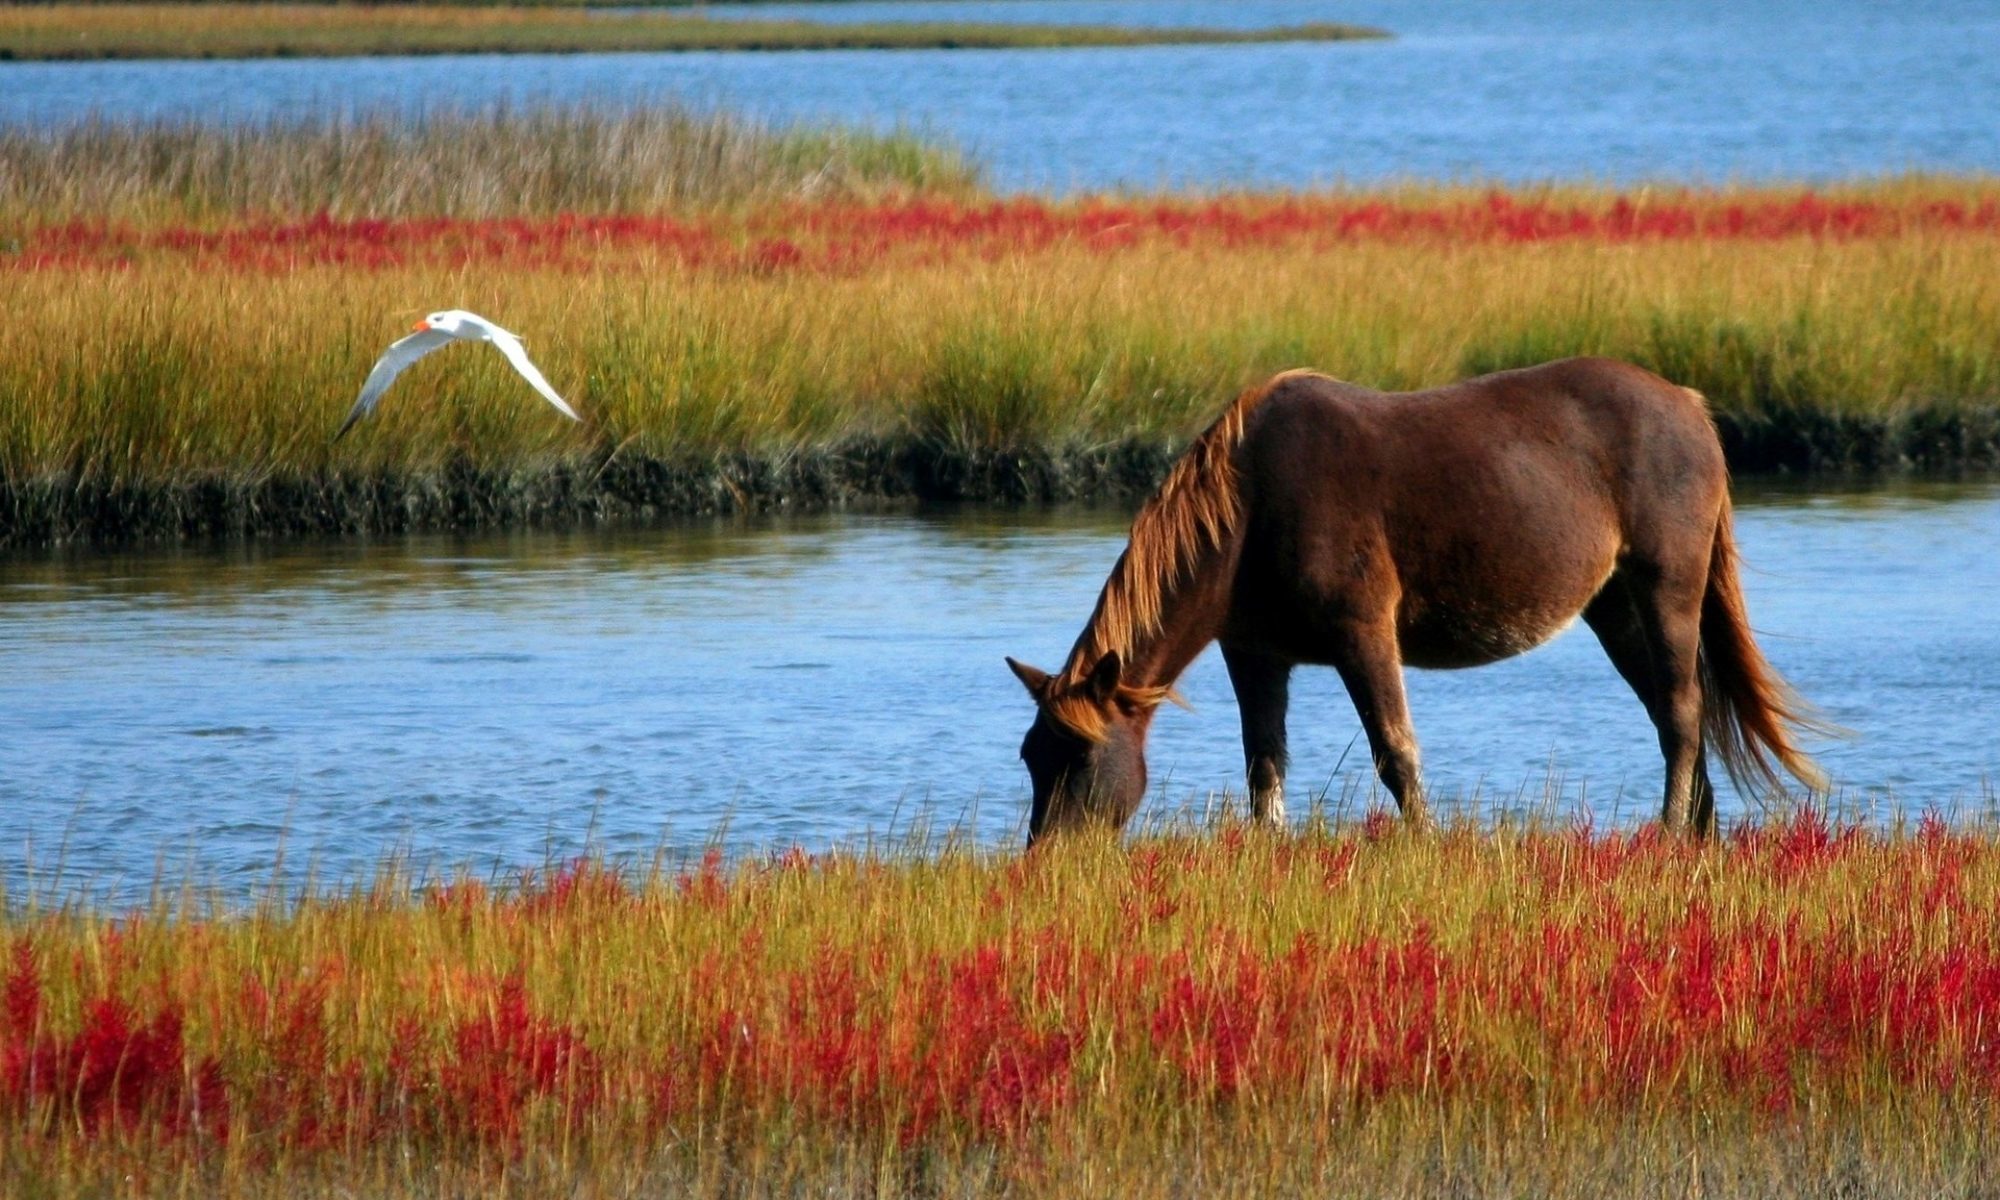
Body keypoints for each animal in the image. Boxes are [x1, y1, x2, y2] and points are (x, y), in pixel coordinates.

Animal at [1016, 356, 1832, 844]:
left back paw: (1668, 835)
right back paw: (1697, 835)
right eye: (1031, 755)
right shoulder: (1255, 654)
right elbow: (1263, 767)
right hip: (1615, 608)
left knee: (1684, 714)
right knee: (1672, 712)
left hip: (1667, 587)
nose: (1048, 860)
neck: (1250, 507)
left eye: (1080, 758)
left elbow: (1395, 754)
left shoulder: (1363, 635)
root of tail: (1690, 406)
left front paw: (1422, 847)